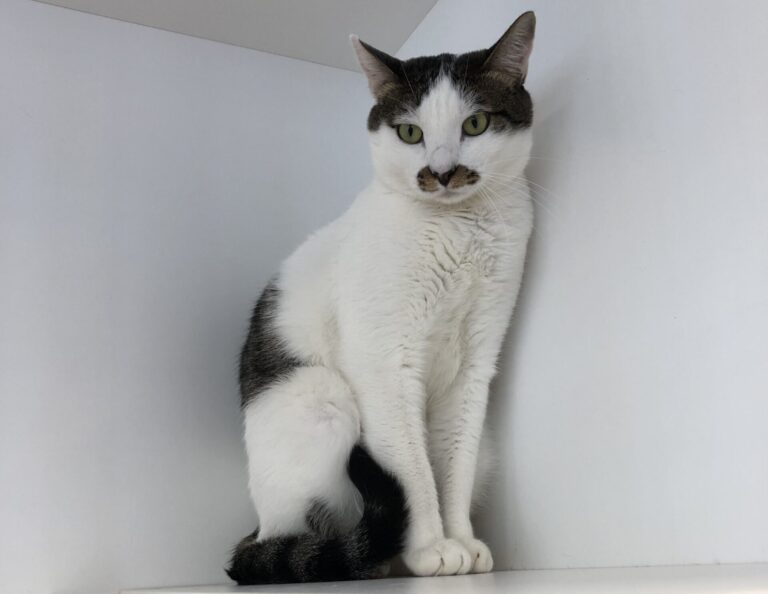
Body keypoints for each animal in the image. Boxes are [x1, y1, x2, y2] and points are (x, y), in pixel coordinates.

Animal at [226, 11, 536, 585]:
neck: (457, 229)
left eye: (476, 125)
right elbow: (412, 471)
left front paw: (461, 539)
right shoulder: (385, 363)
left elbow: (452, 466)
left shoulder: (473, 370)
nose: (441, 172)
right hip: (324, 399)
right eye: (410, 132)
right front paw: (431, 548)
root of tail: (260, 530)